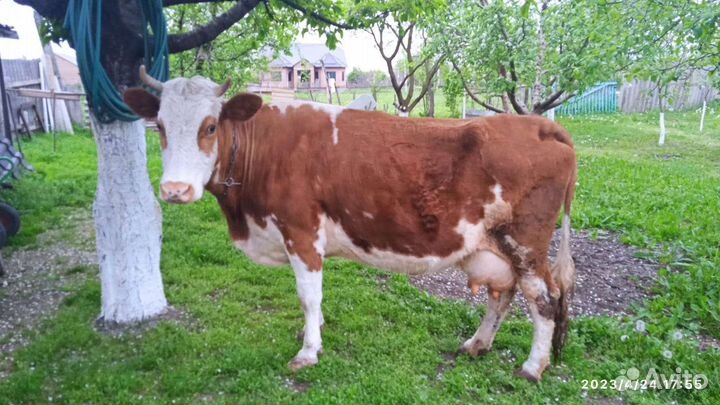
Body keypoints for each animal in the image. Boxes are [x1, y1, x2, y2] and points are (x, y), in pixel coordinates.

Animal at [124, 66, 577, 382]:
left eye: (211, 126)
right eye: (159, 126)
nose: (175, 190)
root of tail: (540, 124)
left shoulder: (301, 232)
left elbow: (308, 296)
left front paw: (308, 351)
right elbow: (314, 299)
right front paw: (315, 332)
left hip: (526, 242)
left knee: (543, 300)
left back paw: (532, 367)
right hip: (495, 244)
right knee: (503, 293)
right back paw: (477, 344)